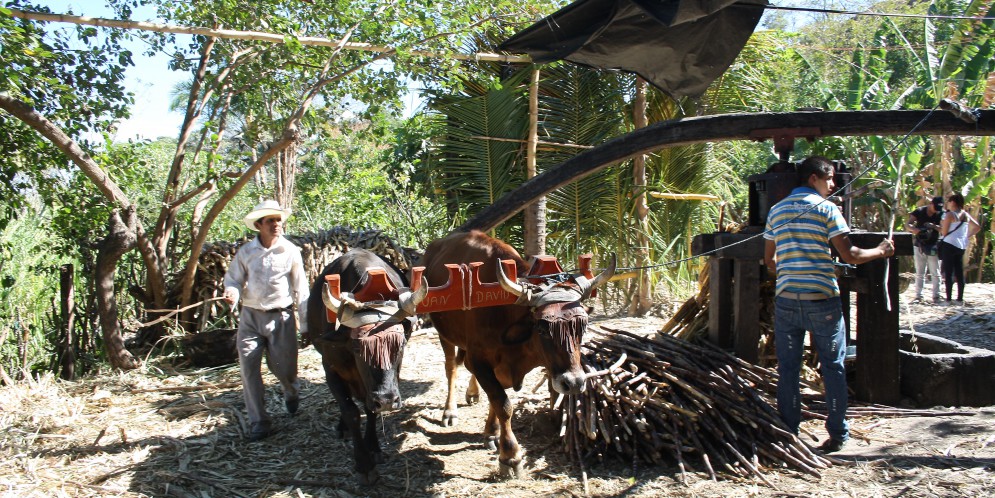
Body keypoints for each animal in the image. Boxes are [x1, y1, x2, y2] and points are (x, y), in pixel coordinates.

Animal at [305, 248, 427, 485]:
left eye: (401, 344)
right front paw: (363, 463)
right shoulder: (330, 370)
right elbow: (351, 412)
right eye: (357, 346)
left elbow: (370, 410)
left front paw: (374, 447)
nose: (387, 400)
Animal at [420, 230, 615, 478]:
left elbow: (496, 399)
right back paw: (449, 412)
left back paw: (473, 393)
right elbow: (503, 404)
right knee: (451, 367)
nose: (573, 383)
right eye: (542, 328)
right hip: (444, 334)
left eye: (582, 326)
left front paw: (492, 432)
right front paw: (510, 455)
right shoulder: (480, 361)